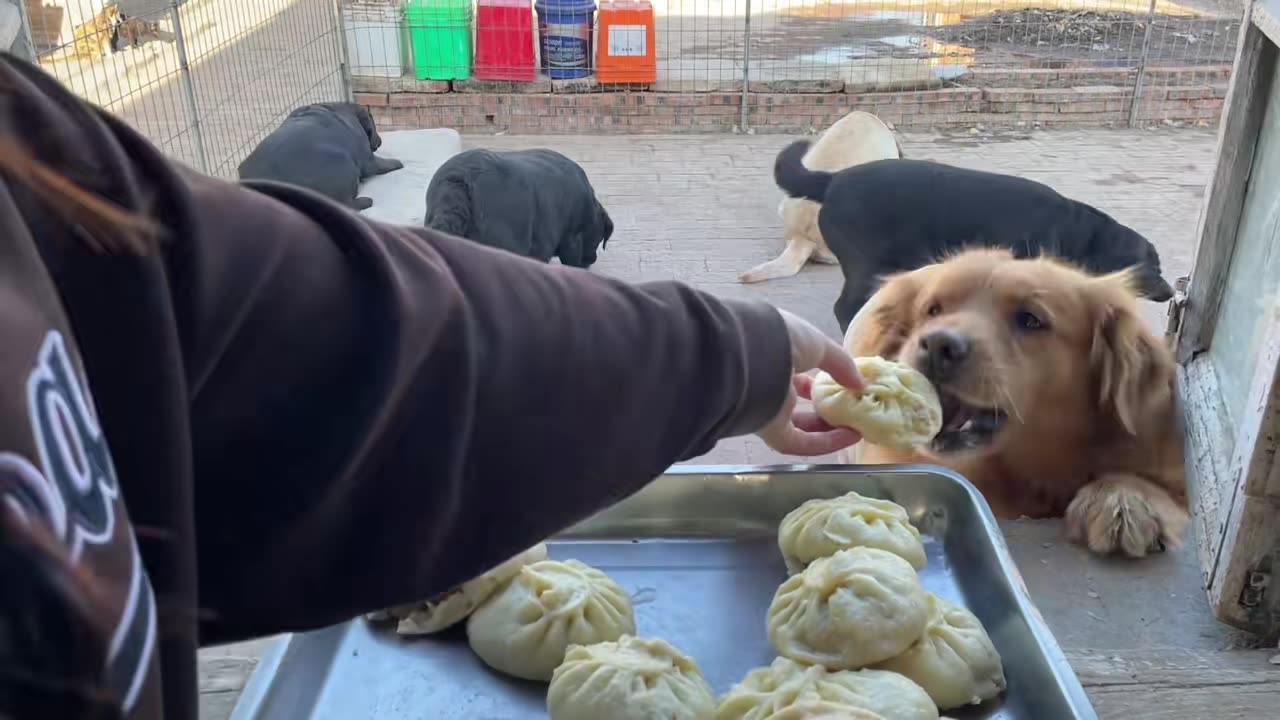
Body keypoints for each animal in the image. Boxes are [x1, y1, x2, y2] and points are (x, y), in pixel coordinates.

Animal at [235, 103, 401, 210]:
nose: (380, 140)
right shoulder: (367, 159)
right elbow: (380, 164)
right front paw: (397, 163)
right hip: (344, 163)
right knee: (345, 204)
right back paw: (365, 201)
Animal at [762, 140, 1172, 330]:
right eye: (1153, 267)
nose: (1171, 292)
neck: (1081, 235)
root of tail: (831, 181)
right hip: (866, 263)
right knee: (845, 307)